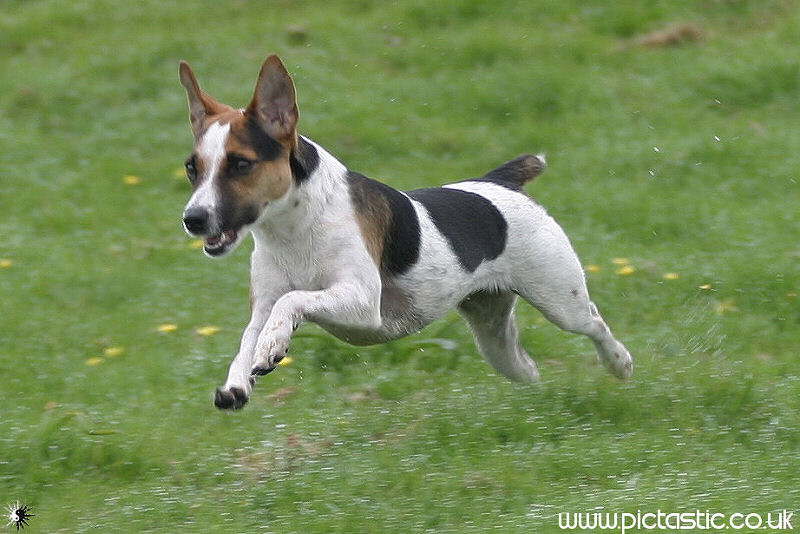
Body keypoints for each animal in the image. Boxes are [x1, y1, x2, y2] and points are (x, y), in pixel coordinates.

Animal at [178, 56, 636, 412]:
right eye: (191, 168)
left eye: (241, 164)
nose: (193, 218)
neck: (293, 227)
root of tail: (500, 182)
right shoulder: (263, 304)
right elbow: (250, 337)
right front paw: (240, 380)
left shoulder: (363, 303)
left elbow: (292, 302)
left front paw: (274, 343)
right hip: (494, 336)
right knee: (525, 366)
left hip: (560, 298)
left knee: (594, 322)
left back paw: (619, 362)